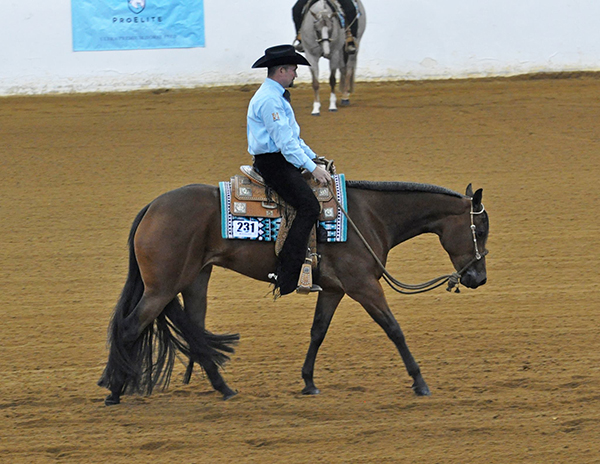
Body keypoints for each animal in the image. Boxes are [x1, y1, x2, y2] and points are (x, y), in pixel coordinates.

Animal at [97, 179, 488, 404]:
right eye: (480, 229)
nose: (478, 278)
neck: (368, 216)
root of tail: (152, 207)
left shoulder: (334, 289)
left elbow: (318, 331)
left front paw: (308, 382)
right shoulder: (363, 285)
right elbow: (394, 329)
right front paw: (420, 383)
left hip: (195, 282)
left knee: (195, 332)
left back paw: (224, 390)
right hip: (162, 287)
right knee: (130, 327)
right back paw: (115, 391)